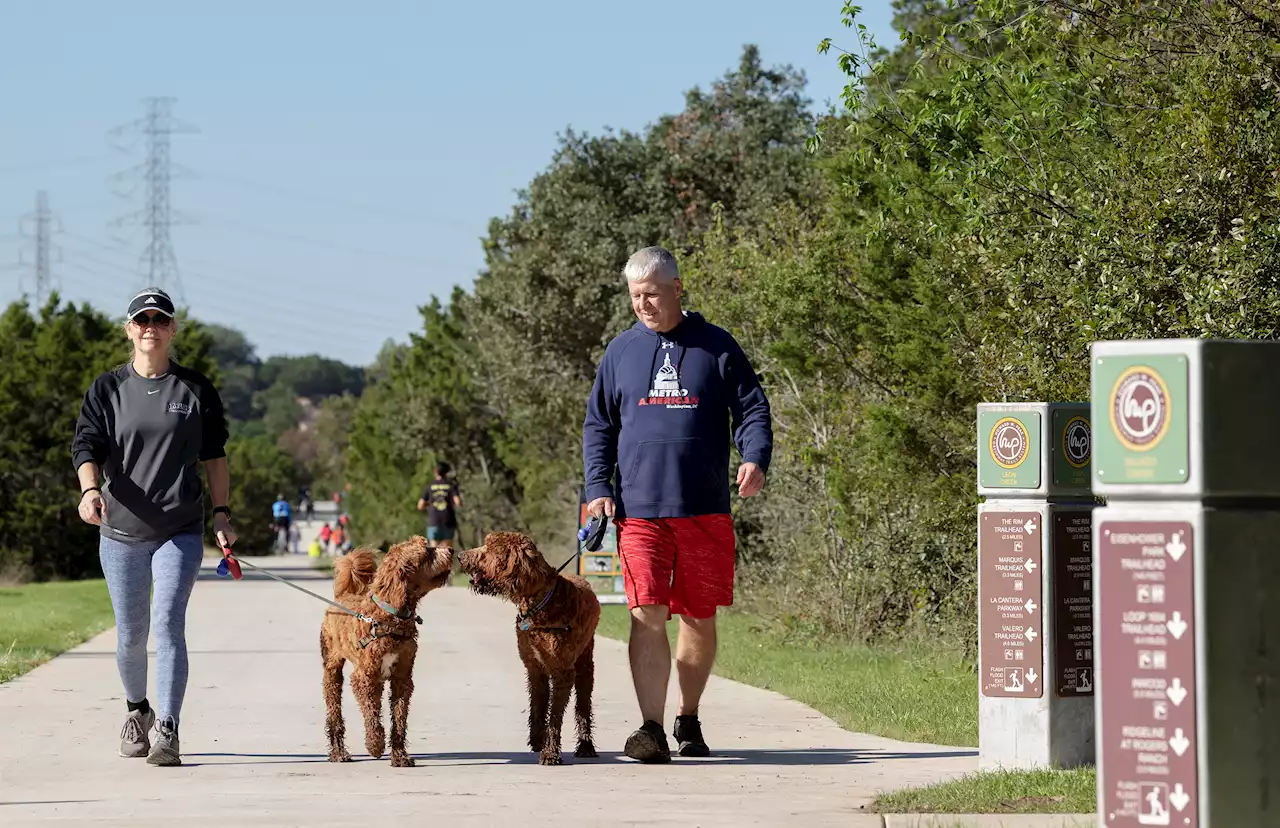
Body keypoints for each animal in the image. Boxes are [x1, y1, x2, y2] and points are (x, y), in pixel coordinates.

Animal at [322, 537, 453, 772]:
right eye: (426, 553)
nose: (451, 549)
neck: (390, 617)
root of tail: (343, 595)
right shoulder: (364, 677)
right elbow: (372, 714)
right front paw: (375, 745)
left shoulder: (402, 678)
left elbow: (399, 719)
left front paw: (400, 757)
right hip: (332, 666)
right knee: (334, 709)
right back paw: (339, 753)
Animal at [460, 534, 599, 767]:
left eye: (489, 548)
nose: (460, 556)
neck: (538, 604)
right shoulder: (535, 667)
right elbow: (537, 703)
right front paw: (537, 739)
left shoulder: (563, 672)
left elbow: (555, 717)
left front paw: (550, 752)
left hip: (585, 663)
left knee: (583, 705)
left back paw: (586, 745)